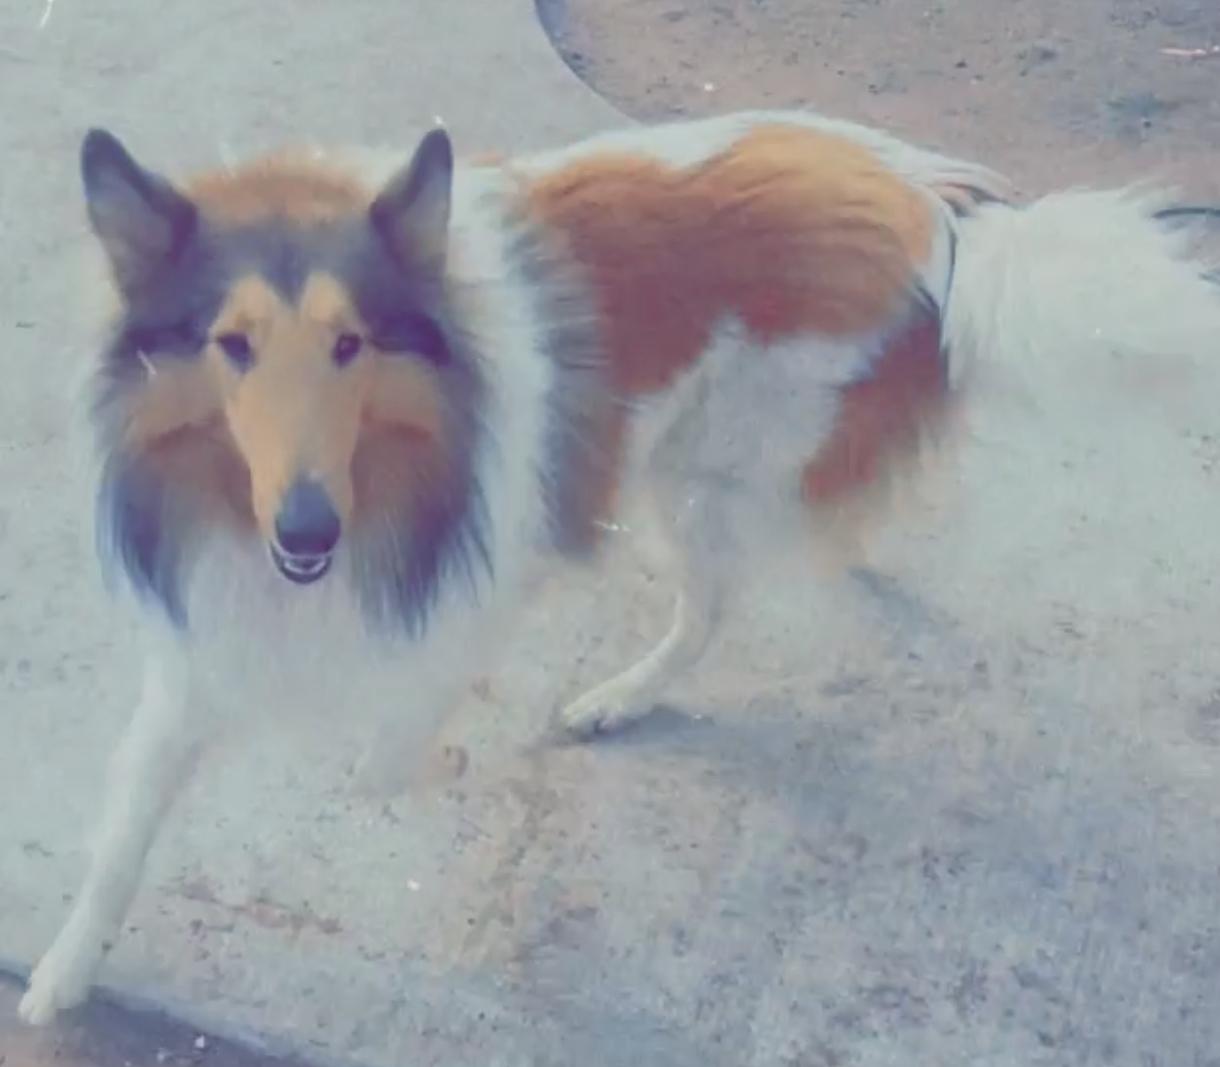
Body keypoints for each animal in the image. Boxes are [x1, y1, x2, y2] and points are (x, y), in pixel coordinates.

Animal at [18, 108, 1220, 1024]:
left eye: (350, 343)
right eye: (232, 345)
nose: (309, 532)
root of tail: (947, 216)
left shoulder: (481, 592)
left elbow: (386, 746)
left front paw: (407, 767)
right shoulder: (199, 647)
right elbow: (124, 829)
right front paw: (62, 973)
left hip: (707, 474)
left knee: (712, 606)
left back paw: (620, 696)